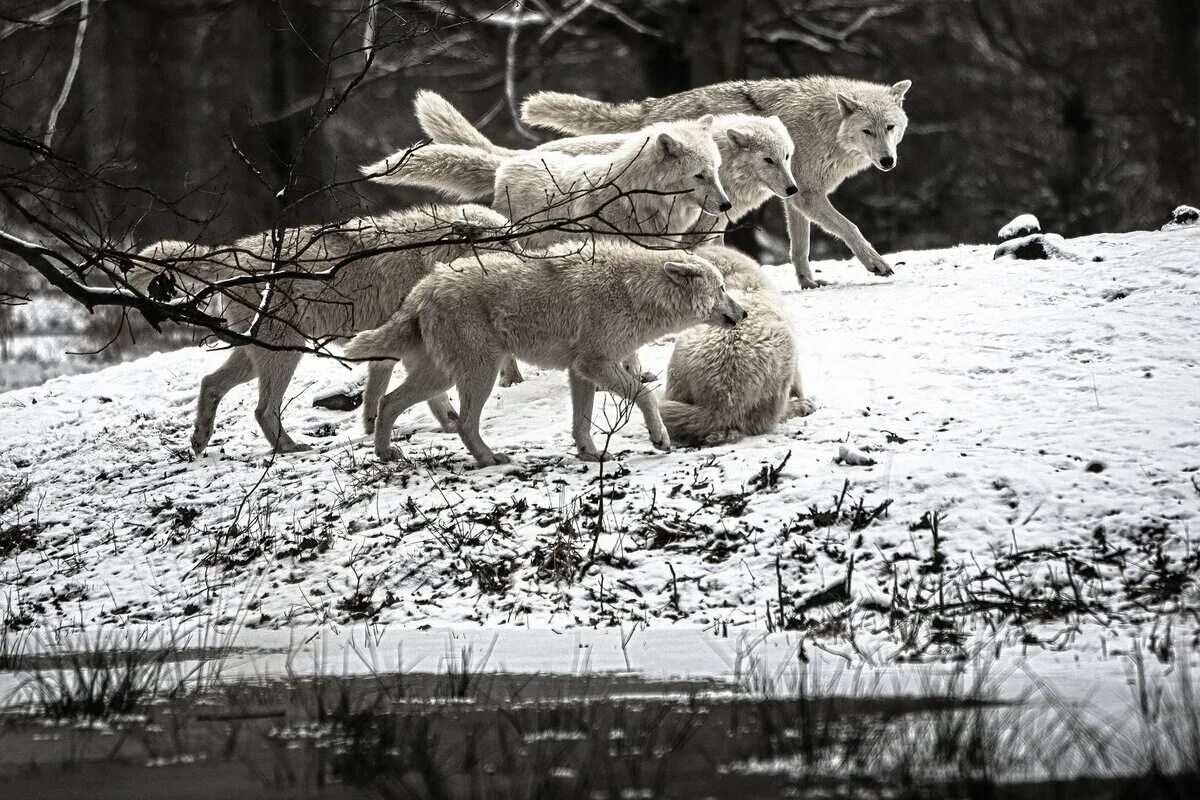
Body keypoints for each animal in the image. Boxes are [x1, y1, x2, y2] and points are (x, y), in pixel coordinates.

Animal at [127, 205, 511, 455]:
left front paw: (374, 427)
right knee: (262, 409)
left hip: (256, 356)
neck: (428, 255)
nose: (522, 256)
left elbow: (378, 395)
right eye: (506, 242)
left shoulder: (388, 349)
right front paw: (447, 424)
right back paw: (291, 447)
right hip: (284, 354)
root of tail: (230, 256)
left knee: (210, 384)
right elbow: (428, 397)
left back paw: (200, 440)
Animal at [343, 247, 744, 465]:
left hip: (443, 377)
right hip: (479, 375)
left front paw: (589, 454)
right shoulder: (594, 364)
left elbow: (582, 421)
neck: (634, 292)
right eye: (723, 288)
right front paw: (659, 438)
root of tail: (423, 287)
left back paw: (386, 454)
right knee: (464, 424)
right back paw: (489, 459)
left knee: (390, 402)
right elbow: (645, 394)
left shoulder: (580, 371)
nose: (743, 314)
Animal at [523, 76, 907, 289]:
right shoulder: (807, 194)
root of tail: (655, 106)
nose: (889, 162)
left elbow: (801, 247)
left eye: (890, 128)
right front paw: (877, 264)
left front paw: (808, 282)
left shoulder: (794, 194)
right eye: (868, 131)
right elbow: (850, 228)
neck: (825, 127)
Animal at [657, 245, 816, 443]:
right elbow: (799, 384)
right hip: (785, 351)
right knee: (771, 418)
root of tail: (720, 403)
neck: (738, 280)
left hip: (678, 359)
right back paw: (802, 406)